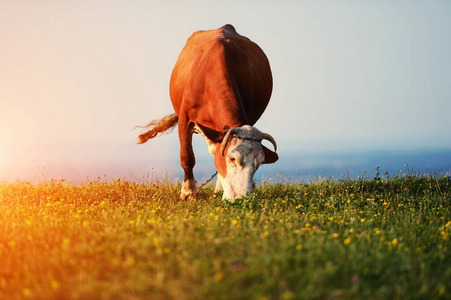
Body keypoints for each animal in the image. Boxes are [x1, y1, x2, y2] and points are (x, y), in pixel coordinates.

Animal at [139, 24, 278, 200]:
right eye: (232, 158)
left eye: (259, 163)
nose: (241, 198)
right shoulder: (185, 118)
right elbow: (187, 157)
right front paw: (188, 191)